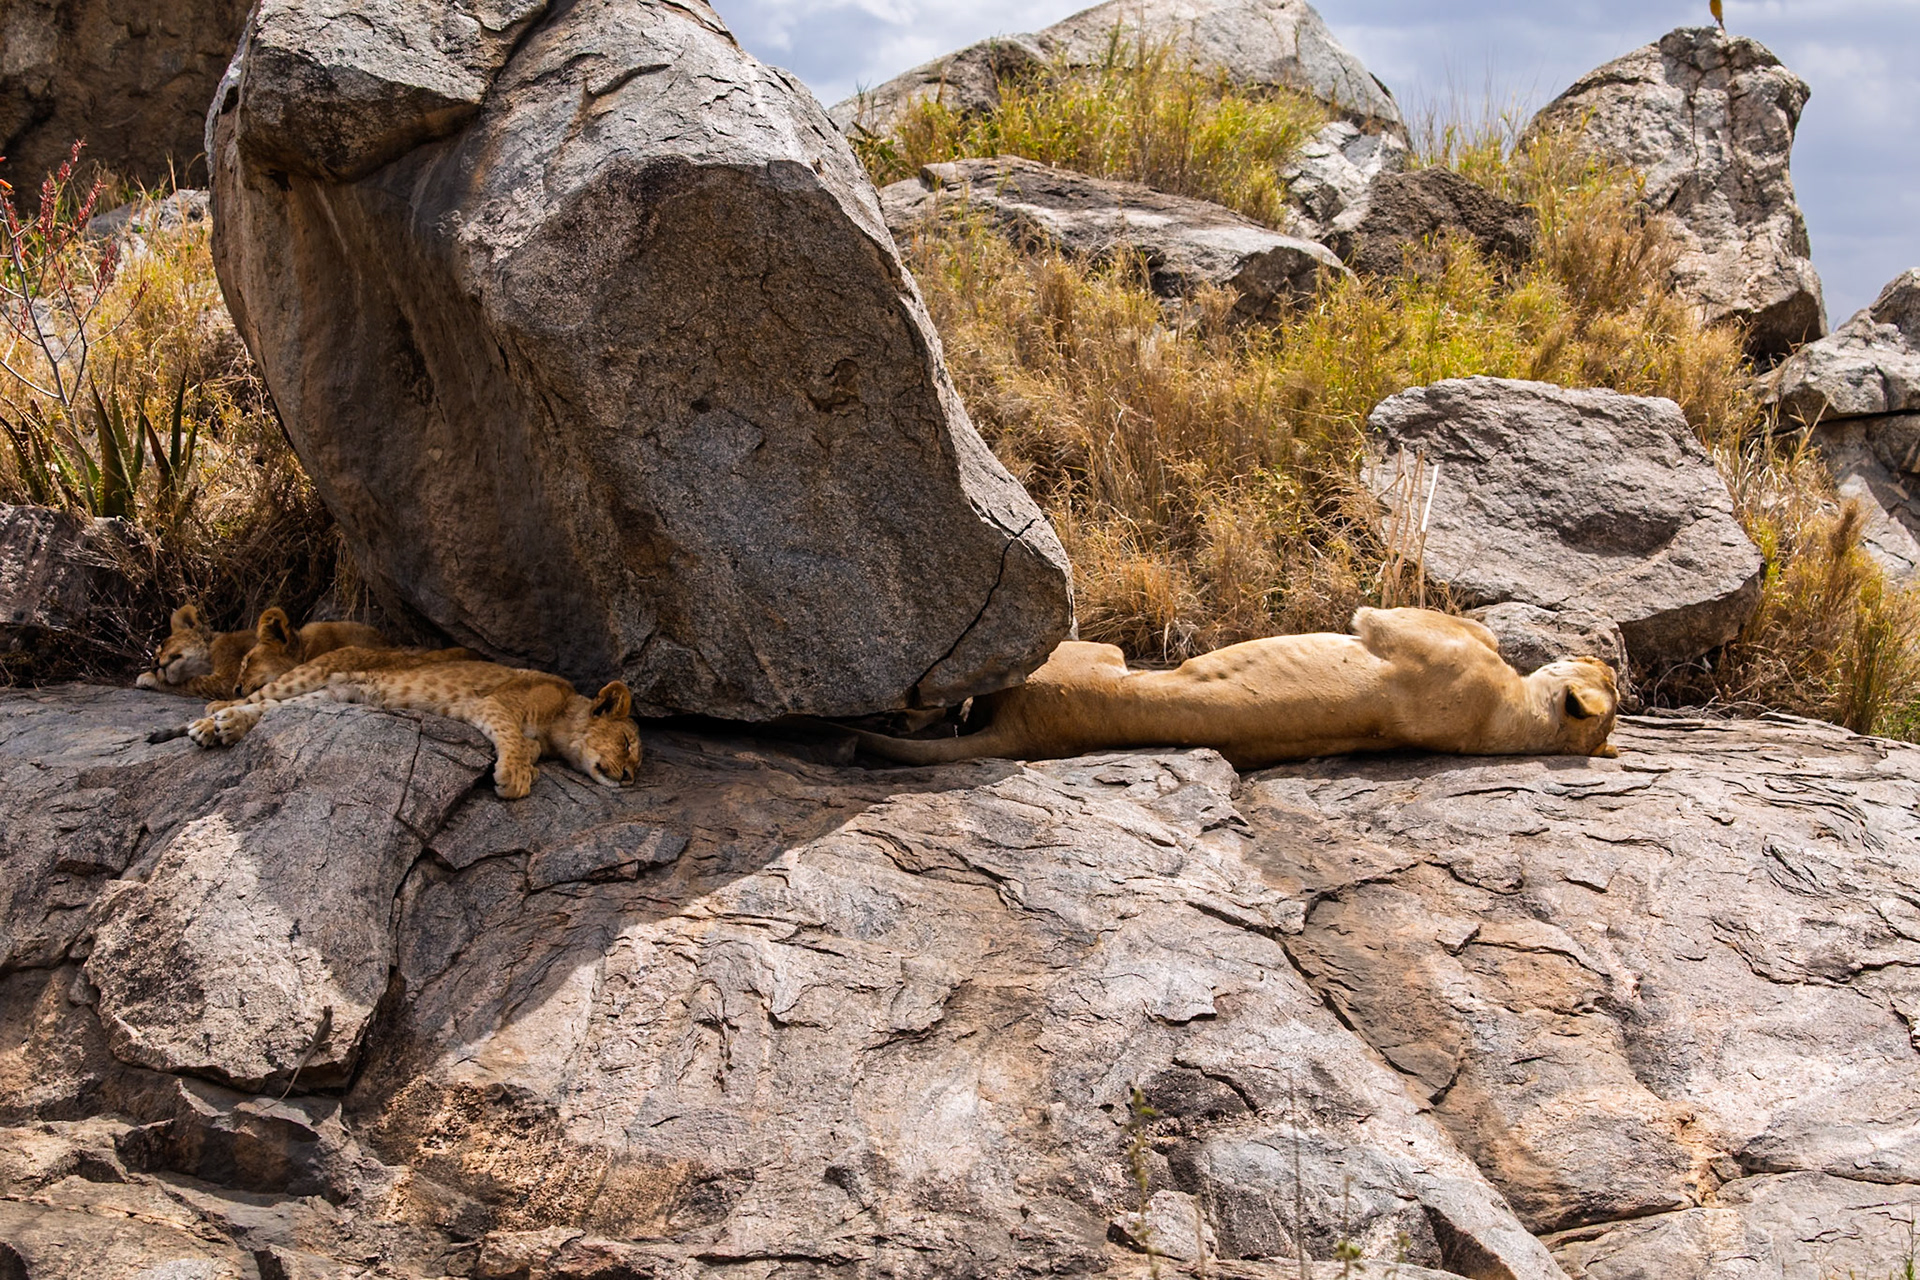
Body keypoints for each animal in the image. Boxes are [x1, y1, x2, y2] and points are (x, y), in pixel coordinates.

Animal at [187, 647, 641, 799]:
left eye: (636, 762)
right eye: (627, 744)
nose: (630, 778)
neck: (560, 720)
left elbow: (526, 746)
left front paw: (526, 765)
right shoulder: (493, 703)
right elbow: (512, 737)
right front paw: (514, 777)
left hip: (331, 696)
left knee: (272, 710)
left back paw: (226, 726)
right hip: (309, 674)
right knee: (257, 697)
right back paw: (212, 718)